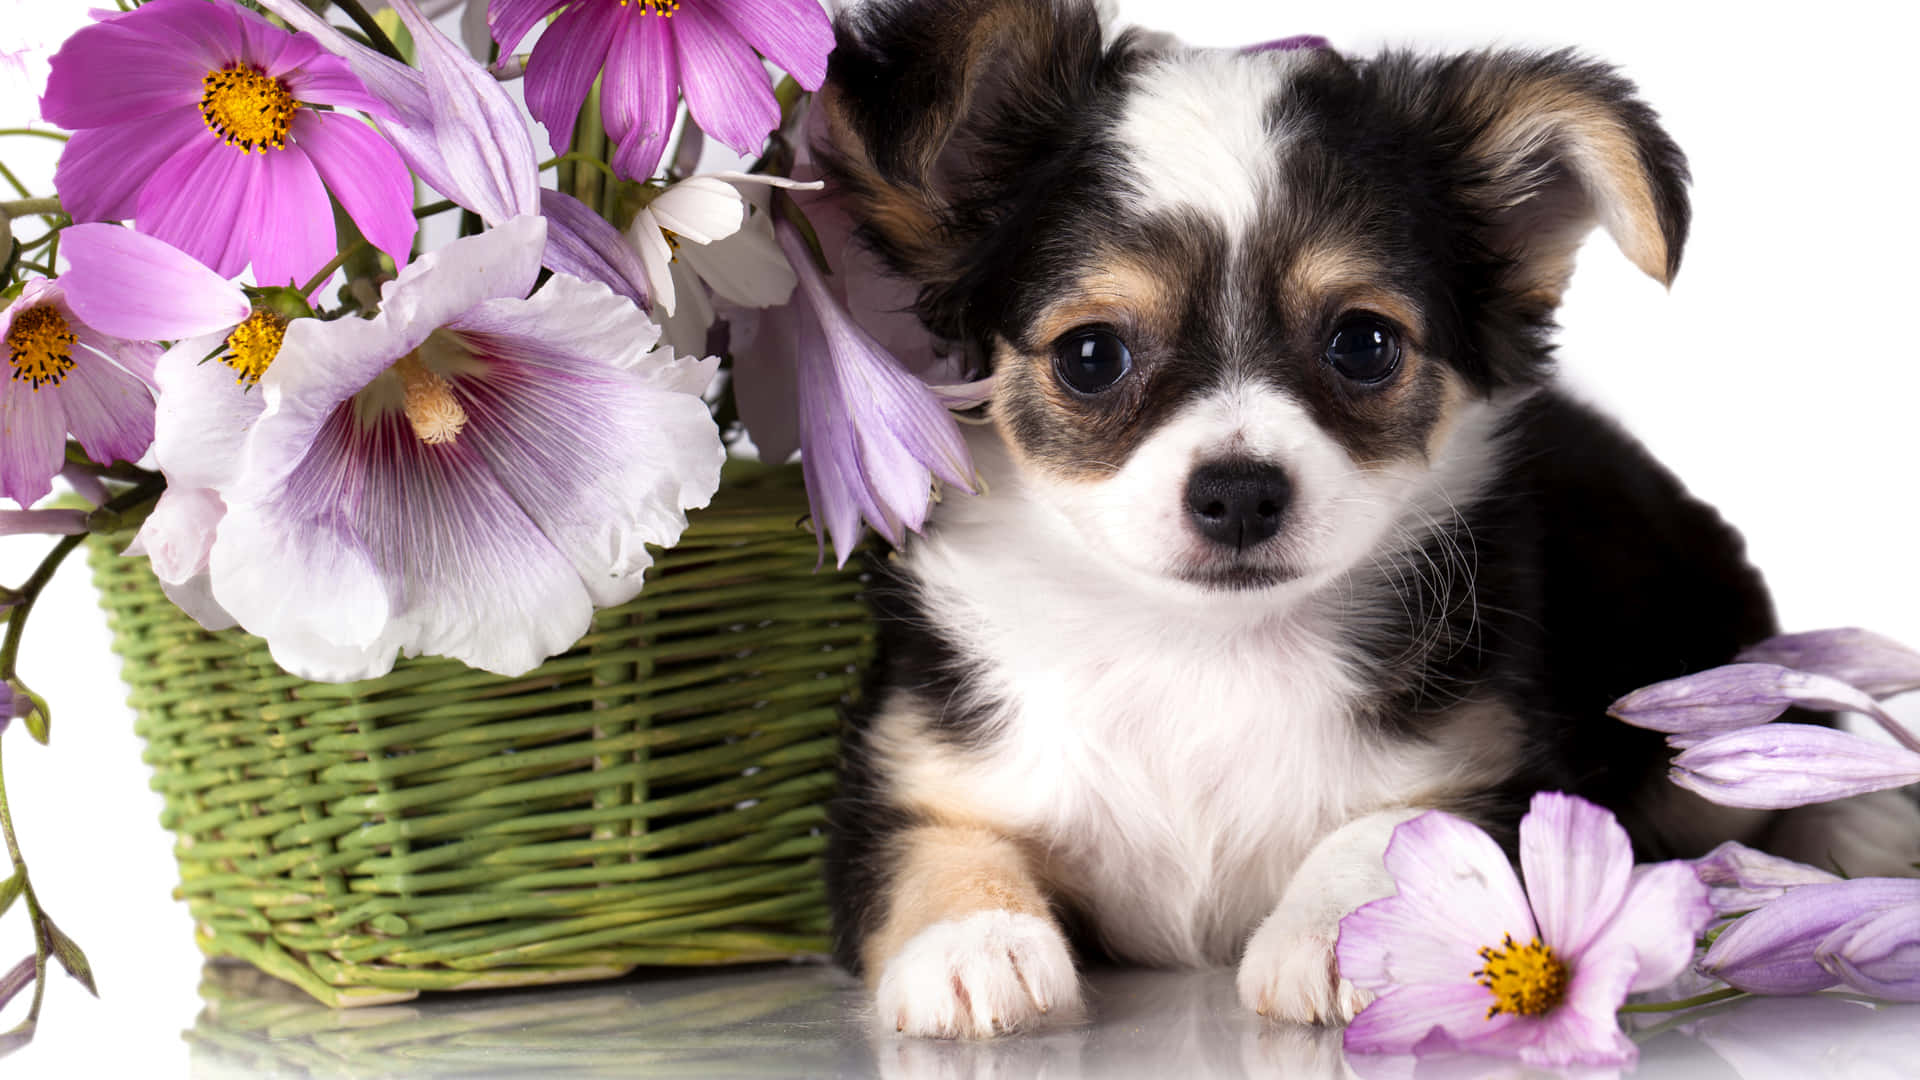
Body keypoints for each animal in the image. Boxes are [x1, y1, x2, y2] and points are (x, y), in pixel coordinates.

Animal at [810, 0, 1920, 1037]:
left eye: (1364, 344)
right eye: (1091, 356)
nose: (1240, 491)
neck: (1202, 647)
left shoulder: (1498, 766)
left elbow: (1391, 830)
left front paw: (1347, 933)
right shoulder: (904, 774)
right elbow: (937, 847)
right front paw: (977, 942)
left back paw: (1865, 831)